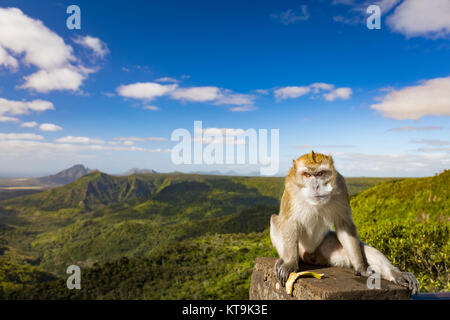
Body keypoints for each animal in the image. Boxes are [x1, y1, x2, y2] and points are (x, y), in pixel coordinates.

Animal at [268, 151, 420, 294]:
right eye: (307, 175)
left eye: (321, 173)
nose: (316, 186)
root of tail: (310, 255)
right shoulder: (291, 189)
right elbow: (289, 223)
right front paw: (289, 263)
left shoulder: (340, 186)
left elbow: (344, 225)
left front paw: (361, 268)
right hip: (300, 250)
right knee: (275, 219)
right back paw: (283, 259)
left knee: (361, 246)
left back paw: (396, 274)